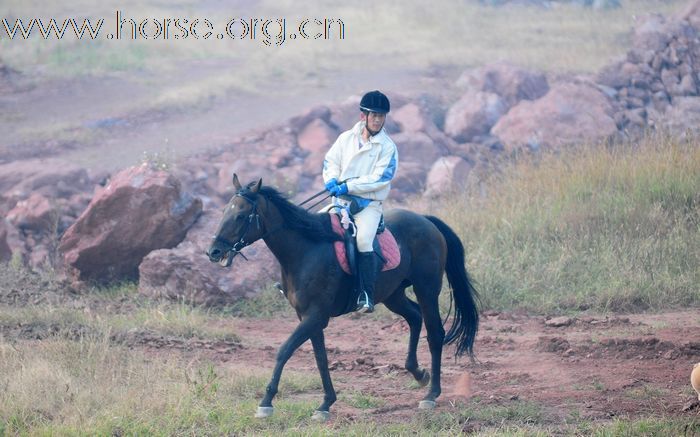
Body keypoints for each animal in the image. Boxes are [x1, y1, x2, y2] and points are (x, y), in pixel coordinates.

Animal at [206, 175, 482, 420]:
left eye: (241, 216)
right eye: (225, 212)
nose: (213, 252)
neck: (306, 249)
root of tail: (426, 221)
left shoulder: (315, 315)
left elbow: (284, 351)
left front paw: (266, 402)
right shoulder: (308, 317)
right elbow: (320, 357)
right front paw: (326, 403)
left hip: (427, 289)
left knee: (435, 333)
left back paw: (431, 394)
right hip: (392, 295)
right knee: (414, 317)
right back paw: (417, 372)